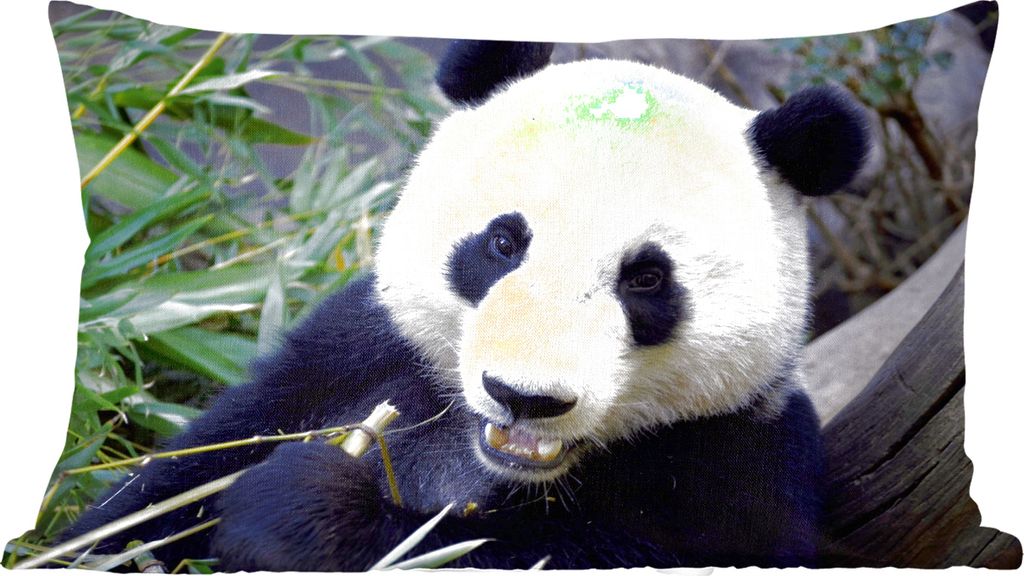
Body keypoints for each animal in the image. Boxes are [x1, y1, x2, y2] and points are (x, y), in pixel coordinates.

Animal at [64, 41, 868, 570]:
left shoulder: (738, 464)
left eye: (646, 279)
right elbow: (181, 477)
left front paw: (302, 512)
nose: (524, 396)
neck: (494, 458)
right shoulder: (359, 351)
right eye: (503, 242)